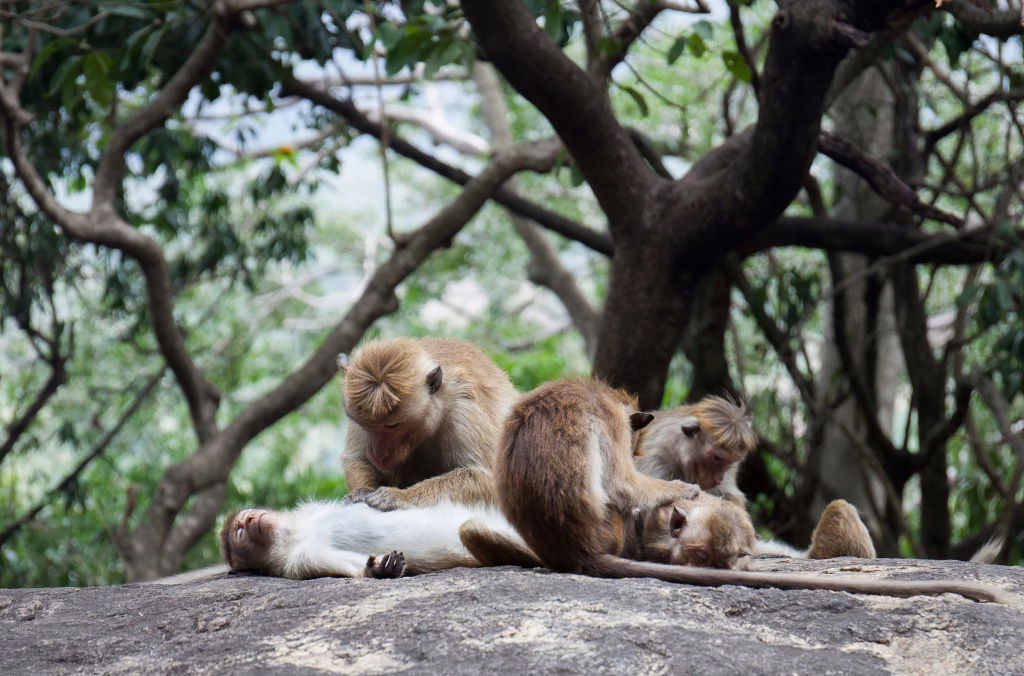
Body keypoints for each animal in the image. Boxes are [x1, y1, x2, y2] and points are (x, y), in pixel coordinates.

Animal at [219, 499, 539, 580]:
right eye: (239, 532)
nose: (250, 520)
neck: (297, 535)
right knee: (471, 529)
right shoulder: (300, 561)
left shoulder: (312, 510)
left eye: (246, 517)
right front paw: (379, 570)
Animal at [338, 336, 519, 512]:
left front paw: (400, 496)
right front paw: (361, 491)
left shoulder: (464, 408)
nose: (377, 455)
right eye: (366, 425)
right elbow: (356, 459)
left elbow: (489, 479)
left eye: (392, 425)